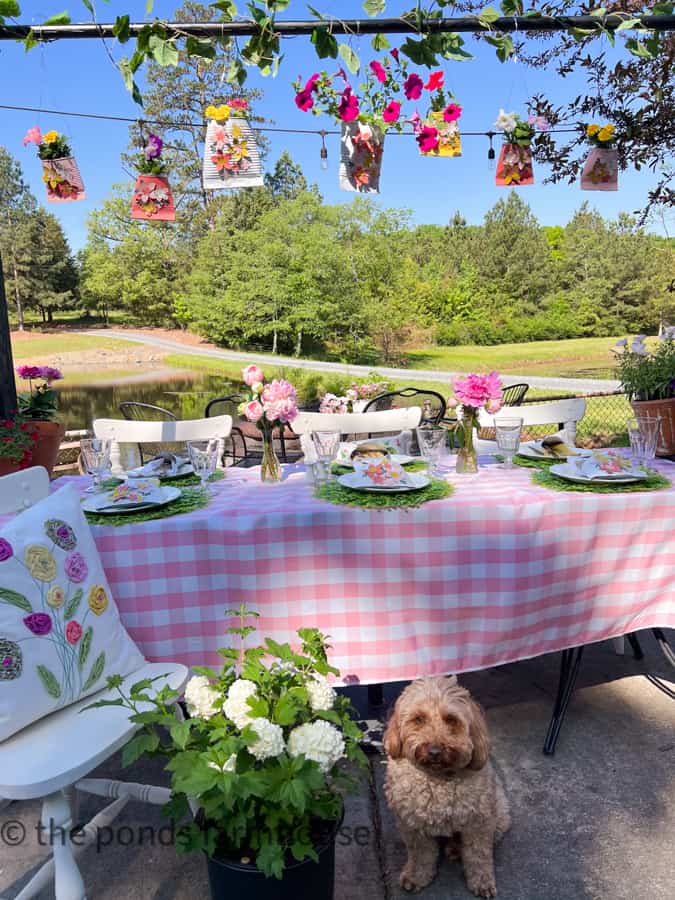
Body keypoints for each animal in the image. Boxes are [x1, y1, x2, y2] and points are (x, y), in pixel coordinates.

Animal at [382, 680, 510, 896]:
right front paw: (416, 876)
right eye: (419, 719)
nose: (434, 751)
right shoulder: (413, 825)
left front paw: (482, 882)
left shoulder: (480, 823)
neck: (439, 779)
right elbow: (421, 855)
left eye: (451, 719)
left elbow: (478, 855)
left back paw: (457, 849)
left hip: (500, 814)